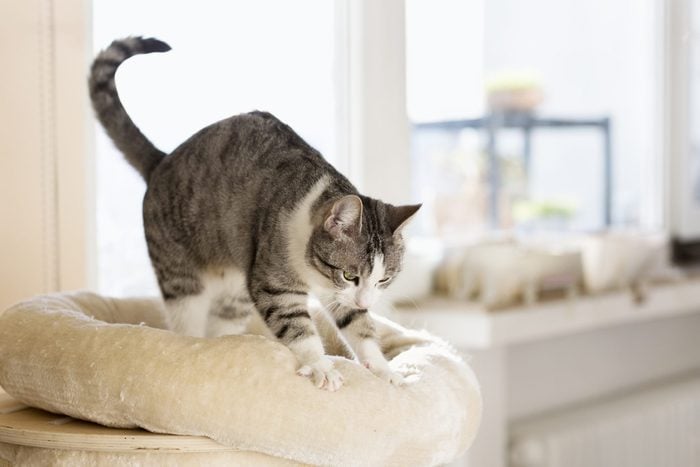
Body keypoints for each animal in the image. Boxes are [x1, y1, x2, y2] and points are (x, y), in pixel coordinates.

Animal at [89, 37, 418, 392]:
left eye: (384, 278)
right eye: (349, 275)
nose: (366, 301)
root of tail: (161, 161)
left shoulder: (338, 297)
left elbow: (360, 326)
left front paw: (384, 370)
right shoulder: (273, 279)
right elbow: (297, 326)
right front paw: (320, 365)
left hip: (234, 292)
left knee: (223, 323)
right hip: (180, 274)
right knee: (186, 318)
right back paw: (192, 345)